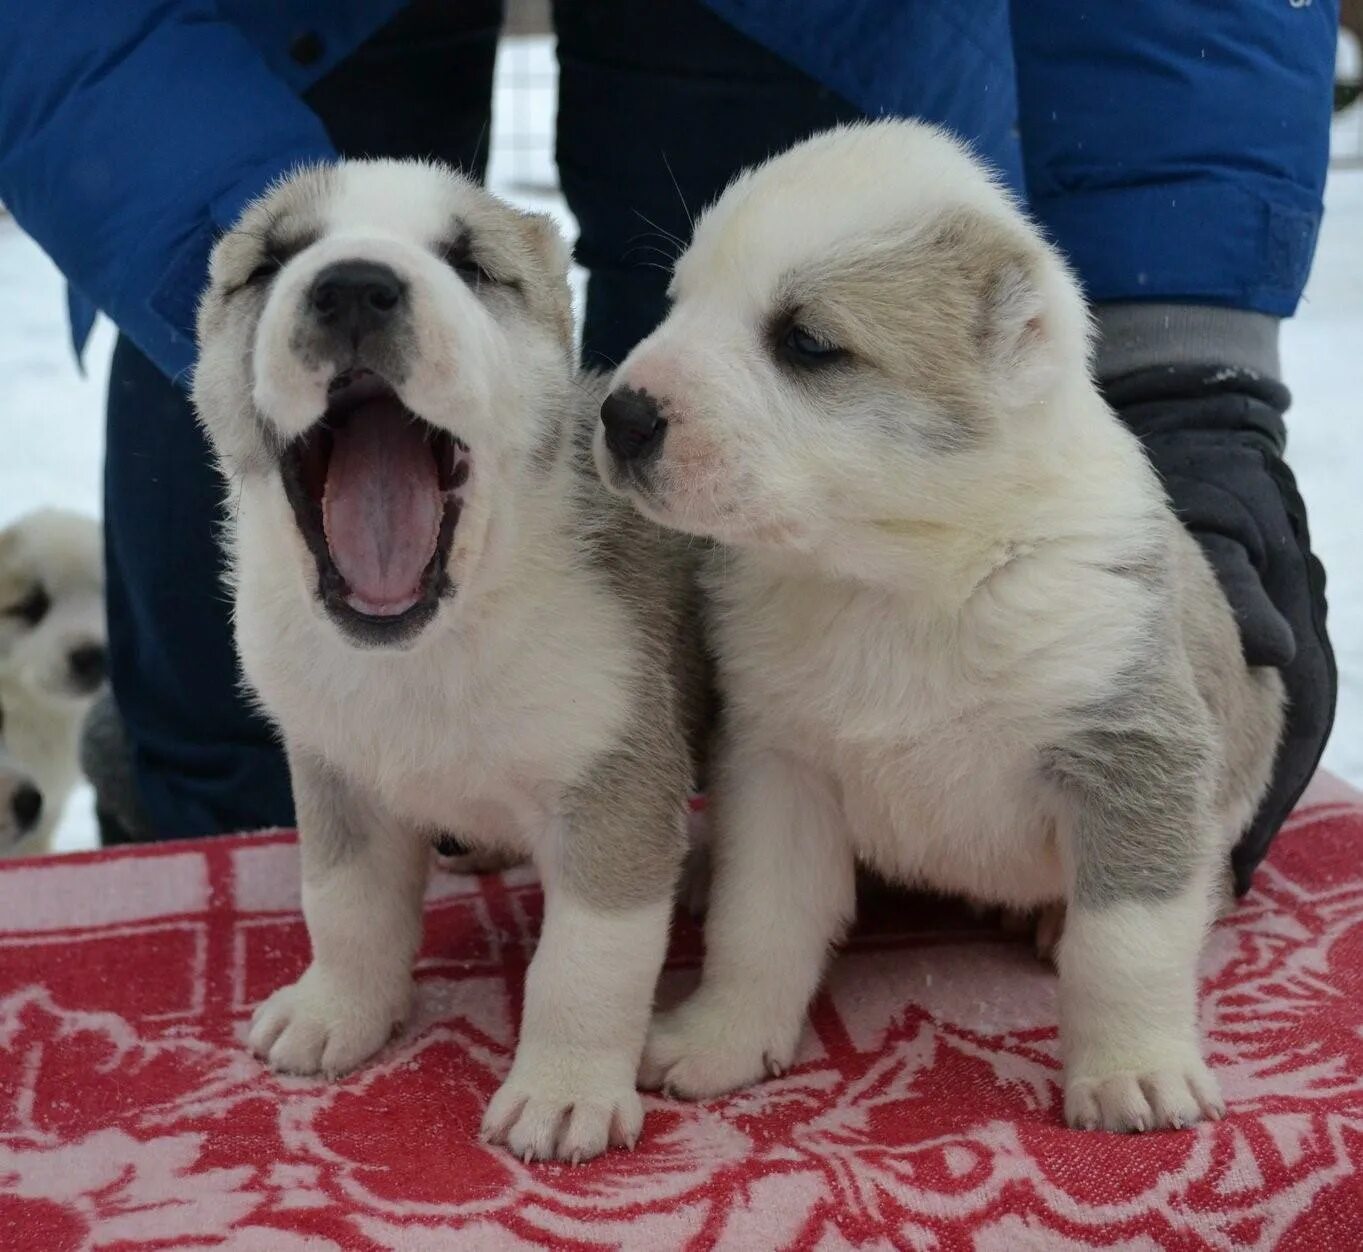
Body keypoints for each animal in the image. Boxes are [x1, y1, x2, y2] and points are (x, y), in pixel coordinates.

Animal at [197, 164, 708, 1166]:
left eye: (469, 264)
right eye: (270, 260)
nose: (353, 286)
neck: (432, 647)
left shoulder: (617, 785)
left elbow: (588, 958)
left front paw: (563, 1091)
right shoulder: (333, 772)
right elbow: (344, 903)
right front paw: (336, 1011)